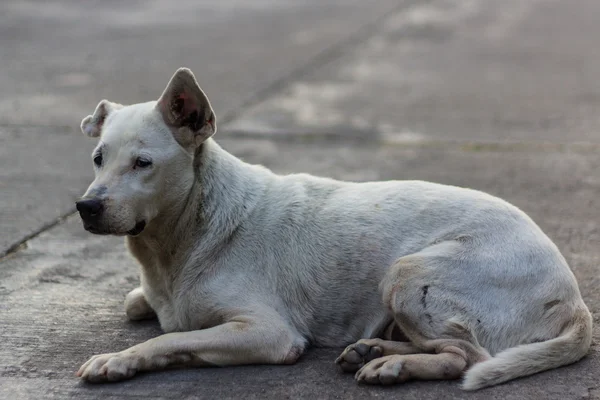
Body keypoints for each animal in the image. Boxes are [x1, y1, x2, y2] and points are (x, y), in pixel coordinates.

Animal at [74, 69, 592, 390]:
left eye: (143, 163)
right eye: (98, 158)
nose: (86, 207)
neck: (184, 233)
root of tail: (574, 297)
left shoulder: (267, 333)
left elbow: (169, 338)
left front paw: (117, 360)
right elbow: (140, 307)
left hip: (408, 273)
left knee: (466, 357)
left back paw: (394, 364)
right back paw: (372, 348)